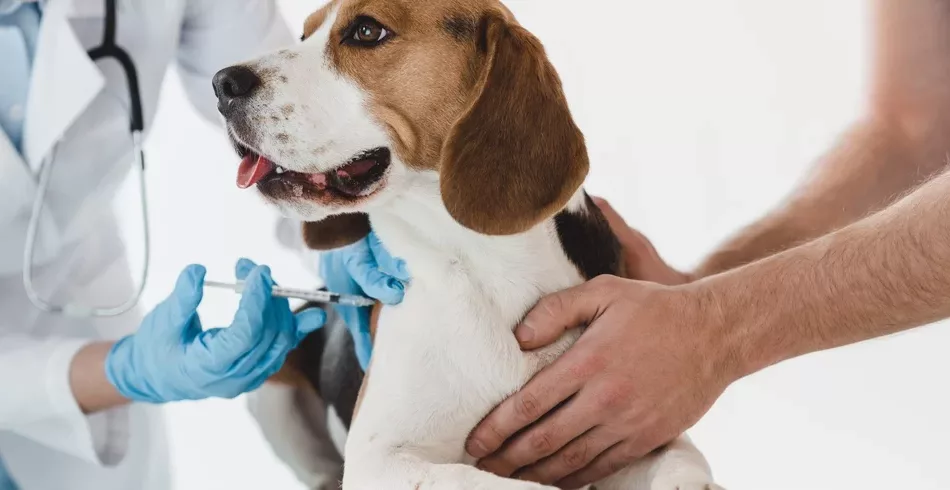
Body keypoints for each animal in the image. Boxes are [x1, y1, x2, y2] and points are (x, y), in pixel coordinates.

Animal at [214, 0, 720, 488]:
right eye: (304, 34)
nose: (223, 84)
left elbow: (687, 469)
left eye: (366, 31)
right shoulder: (381, 460)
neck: (485, 268)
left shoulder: (624, 430)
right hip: (271, 390)